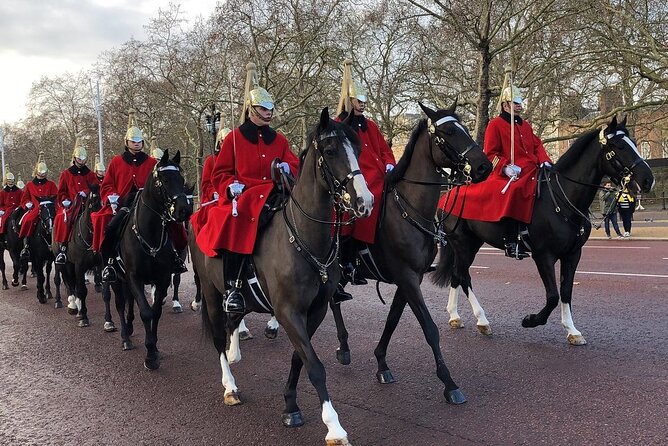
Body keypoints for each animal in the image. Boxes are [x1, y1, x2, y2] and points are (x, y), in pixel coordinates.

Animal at [108, 150, 193, 370]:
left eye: (181, 179)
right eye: (165, 179)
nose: (184, 210)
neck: (150, 233)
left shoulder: (162, 278)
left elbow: (155, 311)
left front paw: (154, 347)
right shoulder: (134, 277)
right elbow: (146, 312)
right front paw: (150, 355)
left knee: (130, 302)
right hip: (116, 278)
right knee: (120, 303)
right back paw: (125, 337)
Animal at [189, 107, 376, 442]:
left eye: (357, 149)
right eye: (330, 151)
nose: (364, 202)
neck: (304, 237)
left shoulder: (314, 310)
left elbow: (300, 358)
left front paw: (290, 406)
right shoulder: (289, 311)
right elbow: (315, 366)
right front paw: (334, 426)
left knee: (233, 320)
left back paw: (235, 351)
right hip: (210, 293)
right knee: (217, 335)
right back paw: (230, 385)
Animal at [328, 100, 490, 404]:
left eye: (463, 126)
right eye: (449, 132)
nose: (484, 166)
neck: (410, 210)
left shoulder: (409, 279)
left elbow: (392, 320)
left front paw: (381, 363)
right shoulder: (407, 278)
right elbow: (429, 328)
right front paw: (449, 383)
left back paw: (344, 346)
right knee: (331, 300)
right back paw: (342, 346)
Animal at [436, 116, 656, 344]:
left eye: (634, 143)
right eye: (619, 146)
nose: (648, 179)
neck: (561, 199)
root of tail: (449, 193)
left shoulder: (573, 254)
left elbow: (566, 291)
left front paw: (572, 330)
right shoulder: (543, 255)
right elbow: (552, 296)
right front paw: (531, 320)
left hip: (472, 243)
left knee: (457, 275)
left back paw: (455, 316)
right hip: (463, 243)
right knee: (463, 276)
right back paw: (481, 320)